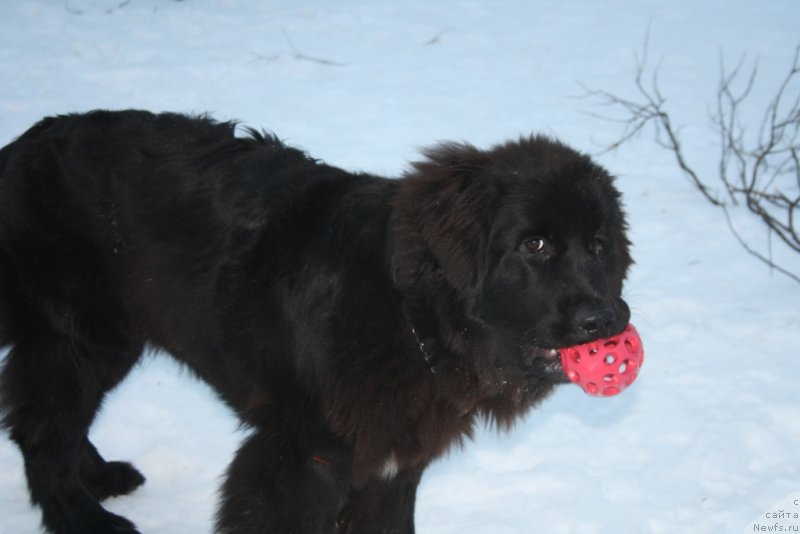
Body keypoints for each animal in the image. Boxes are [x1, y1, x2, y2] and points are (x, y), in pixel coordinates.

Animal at [0, 111, 632, 532]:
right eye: (535, 244)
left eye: (599, 246)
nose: (607, 316)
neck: (411, 317)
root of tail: (22, 144)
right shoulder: (301, 459)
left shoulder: (390, 466)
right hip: (81, 334)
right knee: (42, 429)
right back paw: (84, 518)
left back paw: (102, 479)